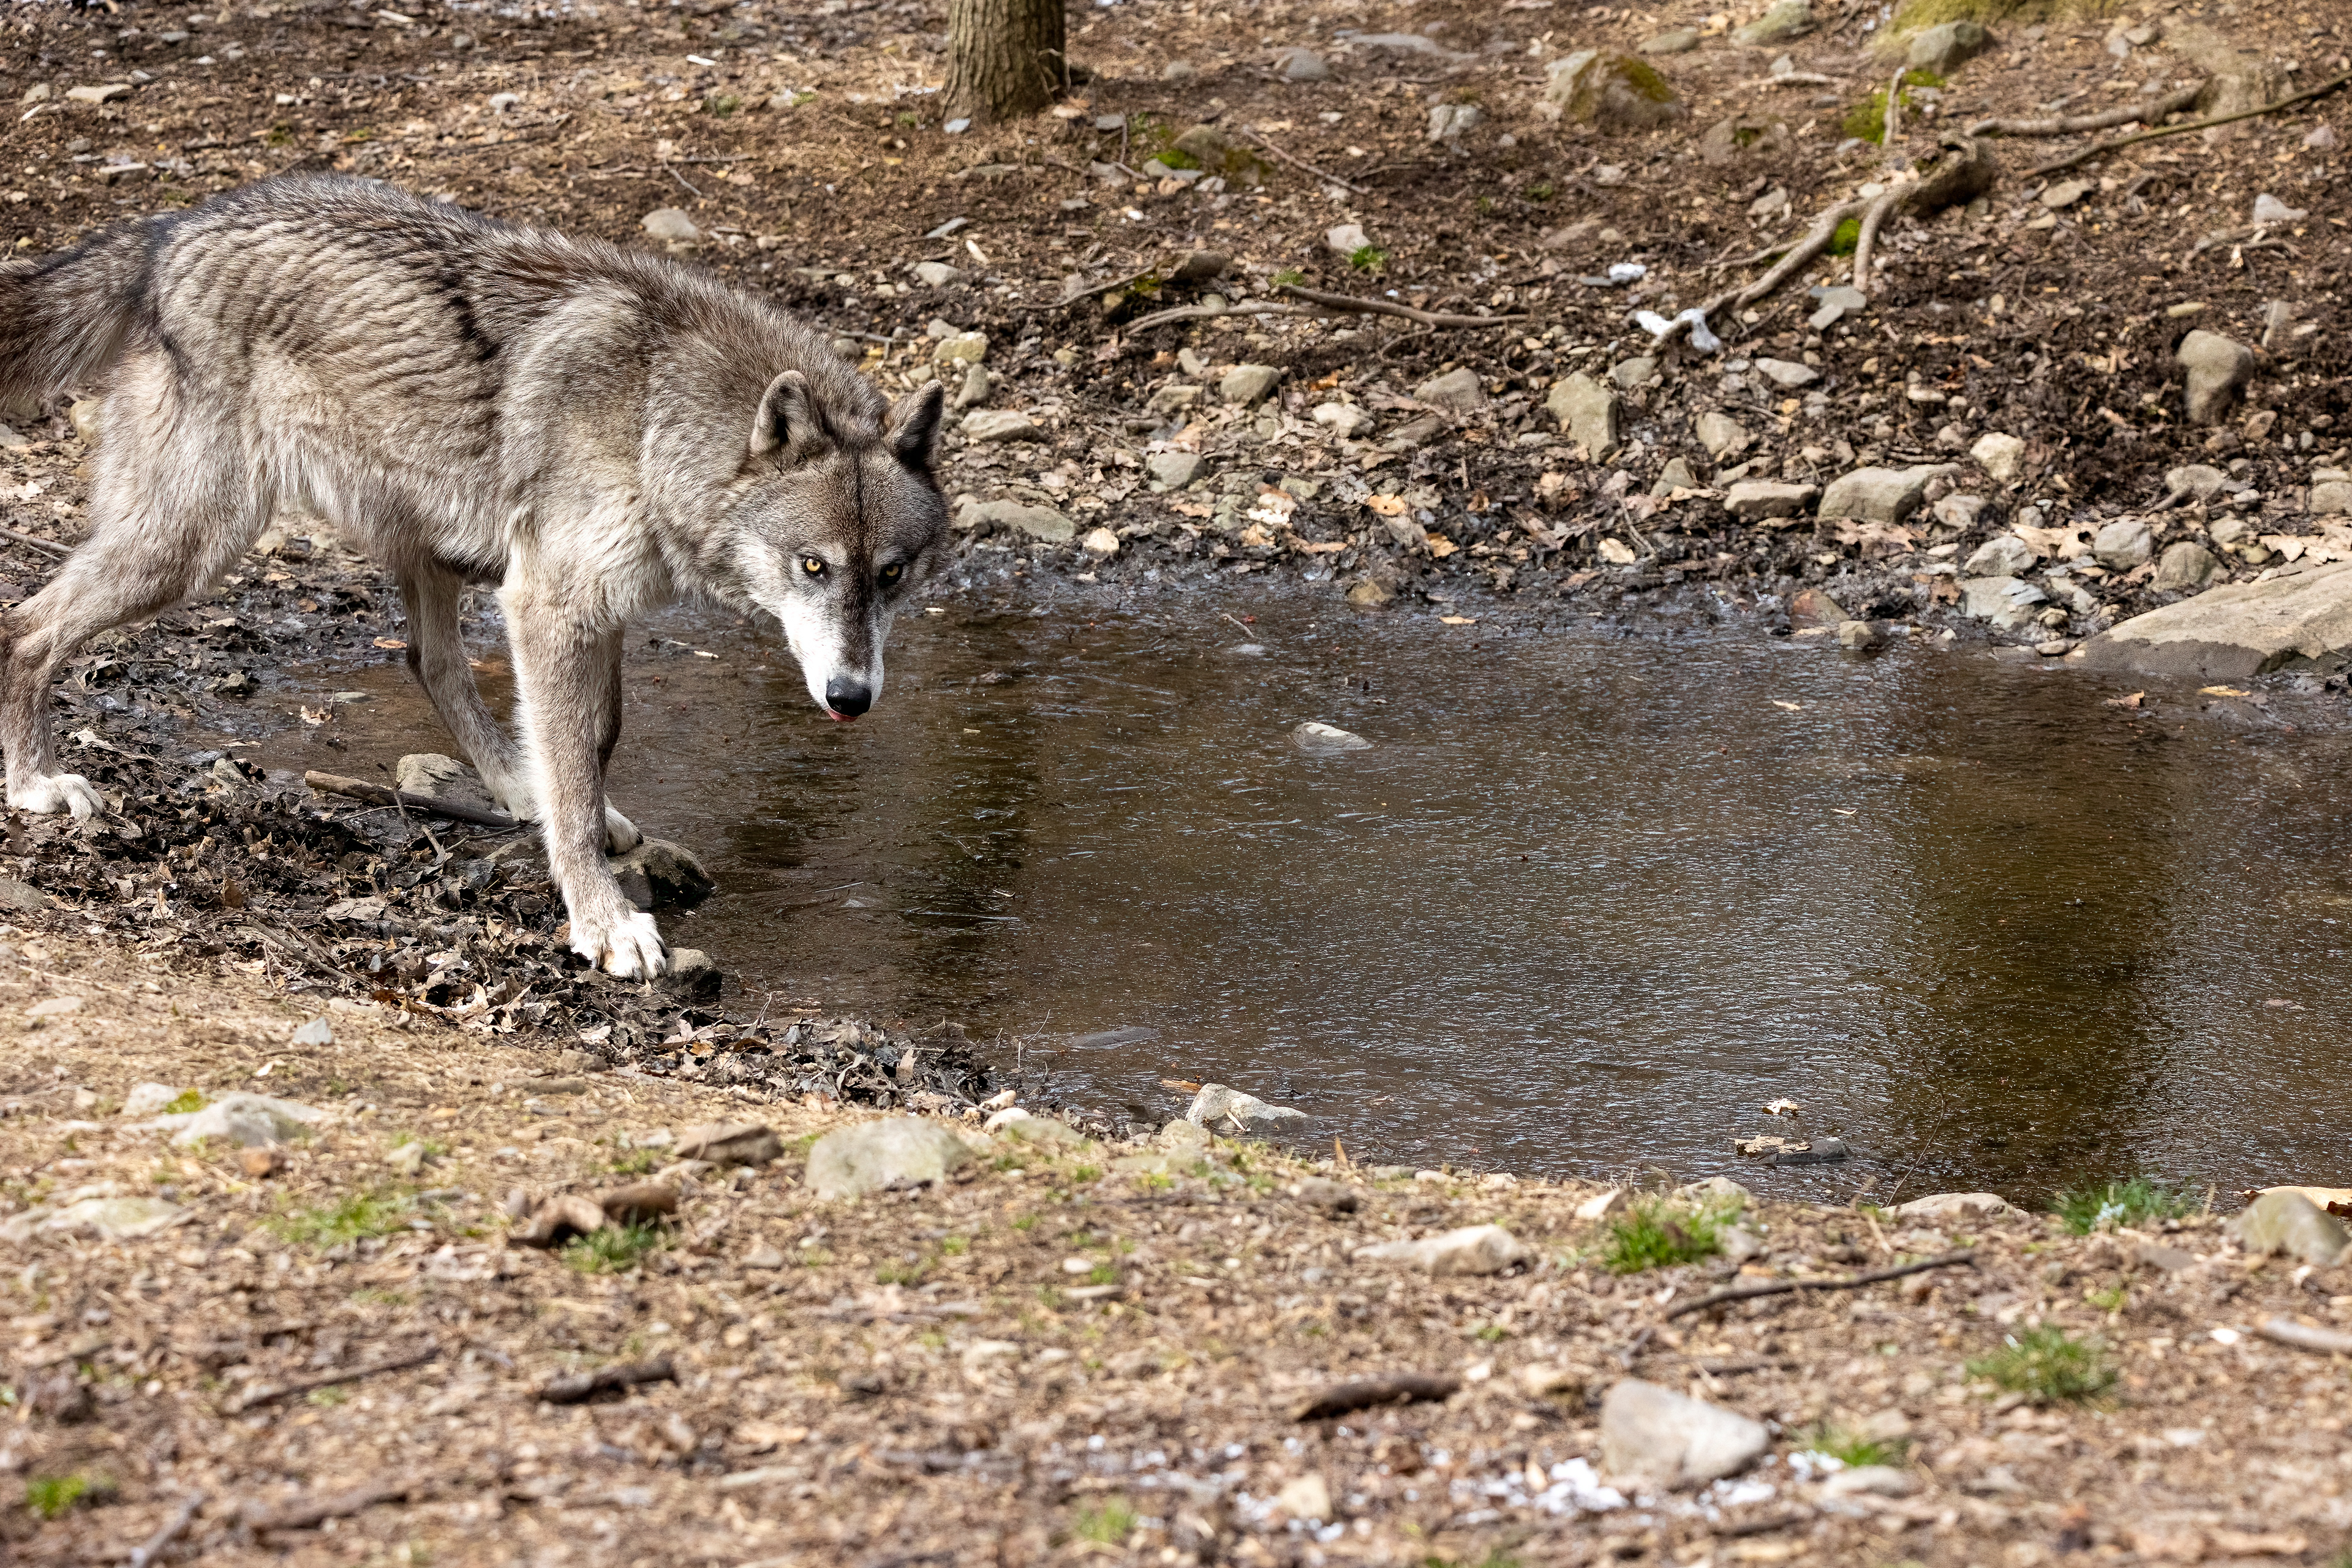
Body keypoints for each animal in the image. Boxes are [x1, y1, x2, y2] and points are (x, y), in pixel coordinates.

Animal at [0, 174, 947, 978]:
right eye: (813, 566)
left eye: (893, 574)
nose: (852, 697)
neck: (655, 414)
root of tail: (168, 233)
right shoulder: (549, 603)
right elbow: (575, 765)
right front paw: (604, 921)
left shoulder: (597, 610)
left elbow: (594, 743)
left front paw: (580, 826)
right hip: (193, 547)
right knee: (25, 626)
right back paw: (35, 785)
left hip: (425, 544)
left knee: (431, 662)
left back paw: (514, 787)